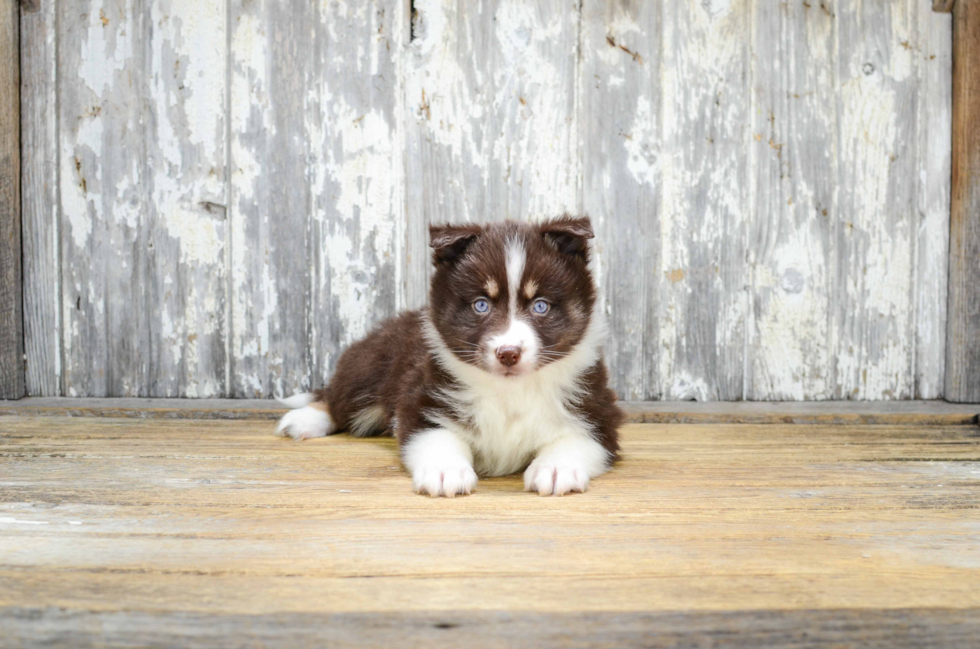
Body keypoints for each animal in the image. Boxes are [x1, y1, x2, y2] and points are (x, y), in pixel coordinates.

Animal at [276, 216, 624, 496]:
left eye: (541, 306)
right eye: (481, 304)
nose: (508, 353)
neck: (510, 390)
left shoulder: (597, 412)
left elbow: (575, 439)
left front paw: (555, 469)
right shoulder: (422, 399)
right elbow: (437, 436)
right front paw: (446, 471)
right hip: (368, 368)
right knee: (336, 398)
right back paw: (305, 418)